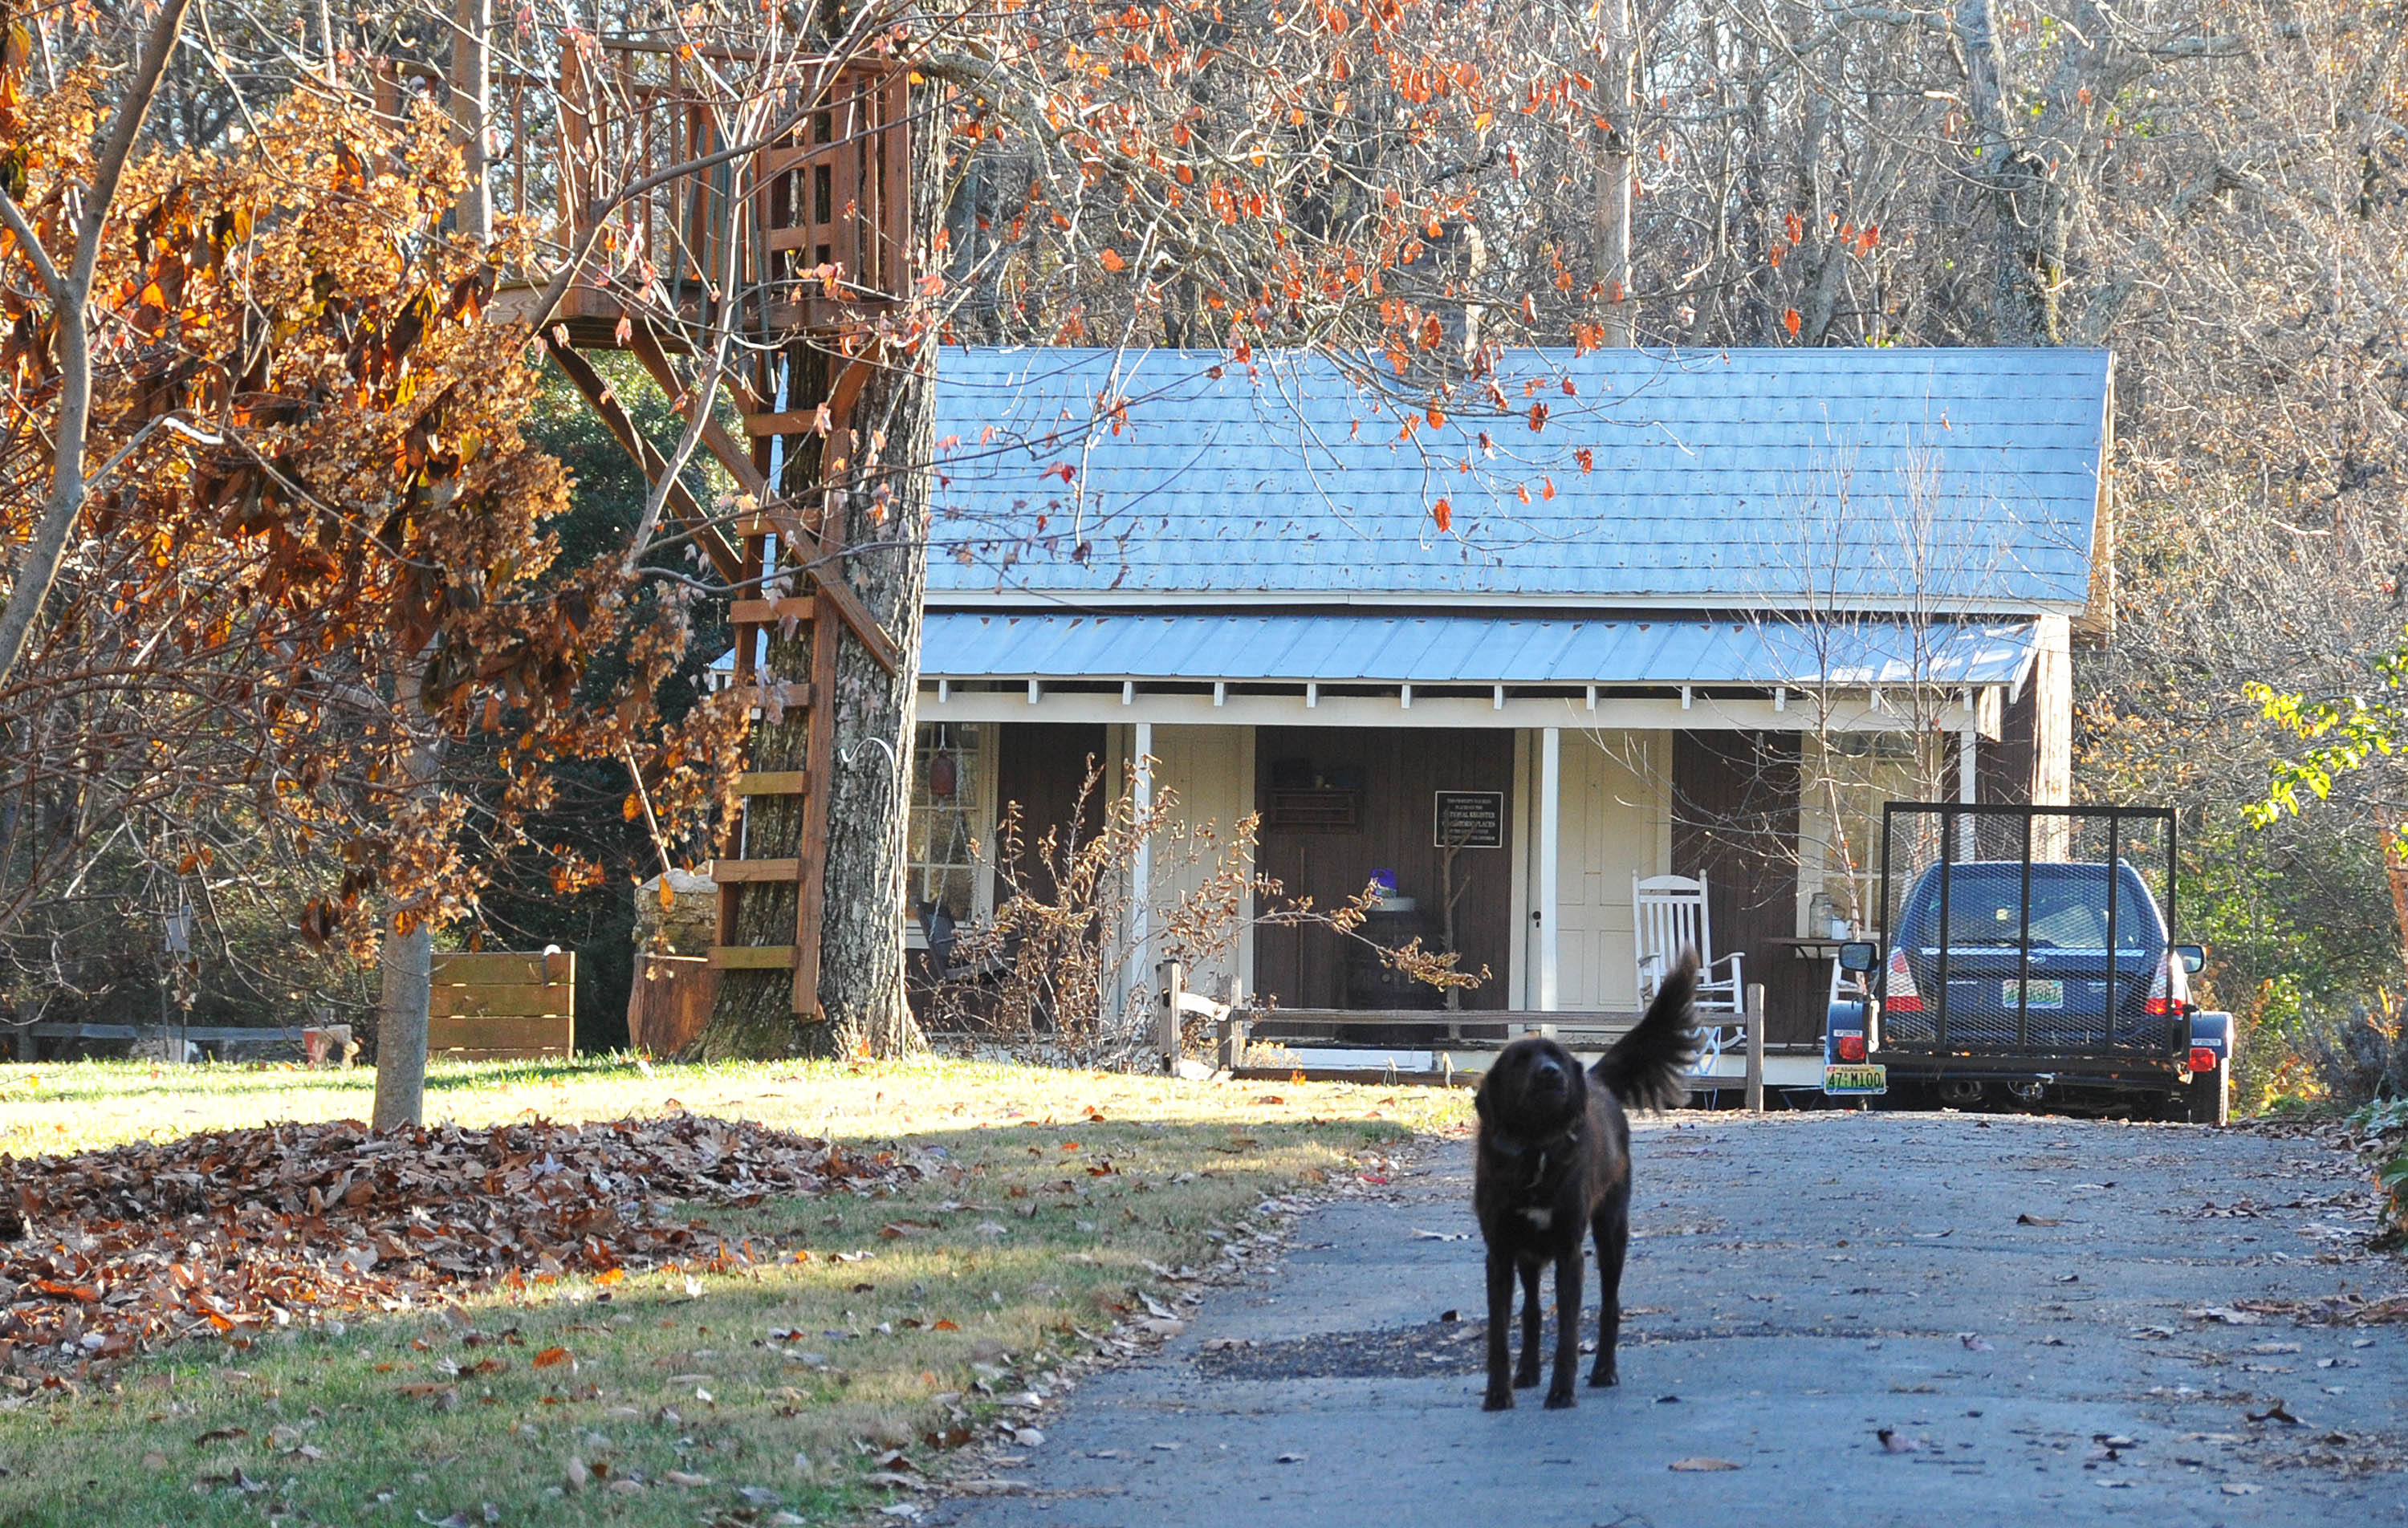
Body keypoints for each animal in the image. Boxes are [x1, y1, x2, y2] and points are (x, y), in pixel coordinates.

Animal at [1464, 957, 1695, 1415]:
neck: (1536, 1148)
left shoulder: (1571, 1252)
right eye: (1520, 1060)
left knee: (1610, 1306)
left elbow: (1569, 1332)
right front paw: (1499, 1393)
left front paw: (1562, 1391)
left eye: (1557, 1057)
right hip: (1529, 1256)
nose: (1551, 1074)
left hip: (1611, 1232)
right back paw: (1527, 1372)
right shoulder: (1500, 1254)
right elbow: (1500, 1331)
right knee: (1533, 1311)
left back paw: (1603, 1371)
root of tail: (1597, 1081)